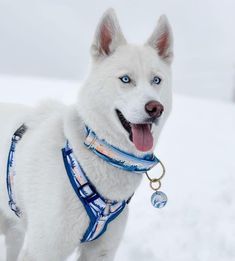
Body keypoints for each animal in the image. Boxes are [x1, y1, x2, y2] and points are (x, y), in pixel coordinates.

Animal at [0, 8, 173, 260]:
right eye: (125, 79)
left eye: (156, 80)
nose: (155, 108)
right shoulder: (43, 250)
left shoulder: (100, 252)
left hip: (15, 233)